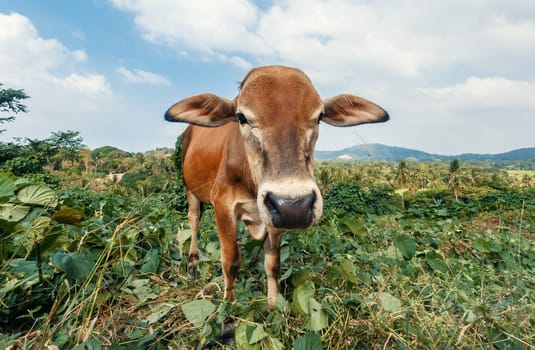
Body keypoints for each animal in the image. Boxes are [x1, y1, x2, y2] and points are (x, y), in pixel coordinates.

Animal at [165, 65, 388, 342]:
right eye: (241, 117)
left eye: (318, 117)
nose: (295, 205)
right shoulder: (224, 207)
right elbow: (230, 263)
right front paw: (228, 319)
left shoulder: (275, 216)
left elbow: (272, 264)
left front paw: (274, 308)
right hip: (191, 190)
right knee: (194, 221)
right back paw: (193, 261)